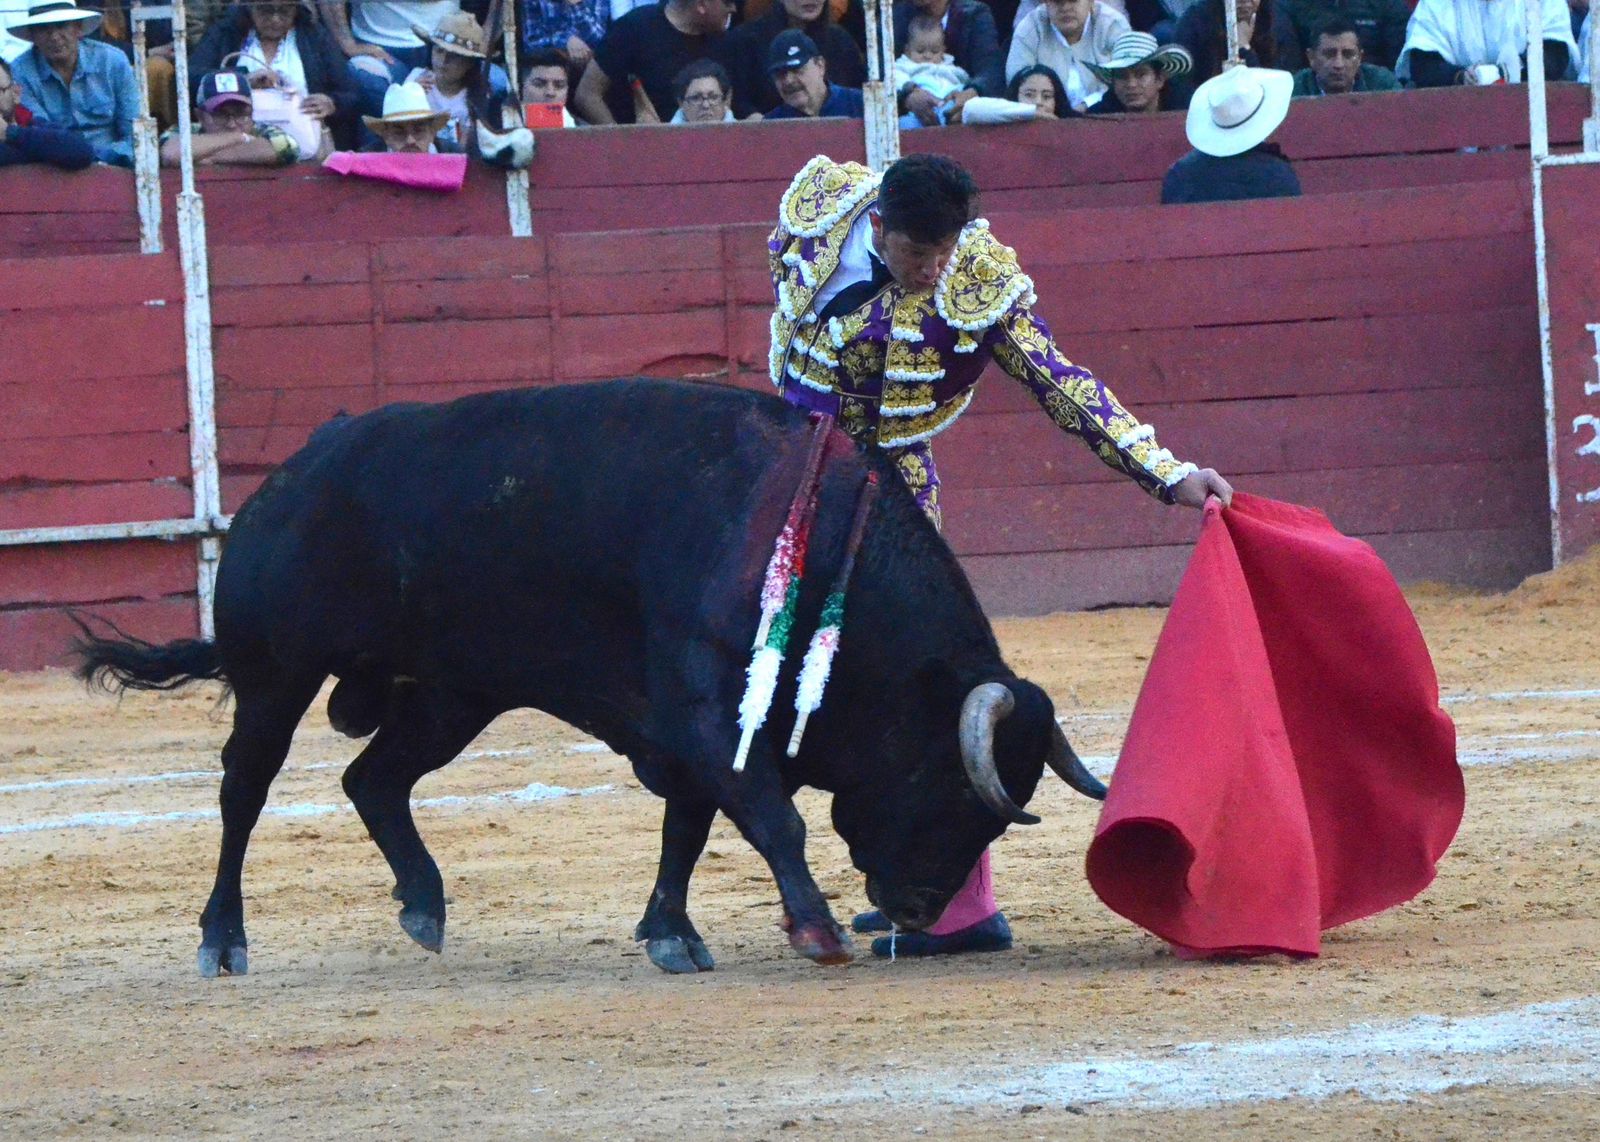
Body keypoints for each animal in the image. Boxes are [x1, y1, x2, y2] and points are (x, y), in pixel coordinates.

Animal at [76, 378, 1105, 977]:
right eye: (950, 786)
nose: (919, 911)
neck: (818, 551)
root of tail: (284, 479)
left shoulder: (692, 730)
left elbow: (690, 826)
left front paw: (672, 935)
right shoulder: (706, 710)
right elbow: (768, 816)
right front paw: (813, 930)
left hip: (450, 693)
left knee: (374, 778)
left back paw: (424, 907)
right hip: (277, 675)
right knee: (244, 790)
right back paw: (223, 941)